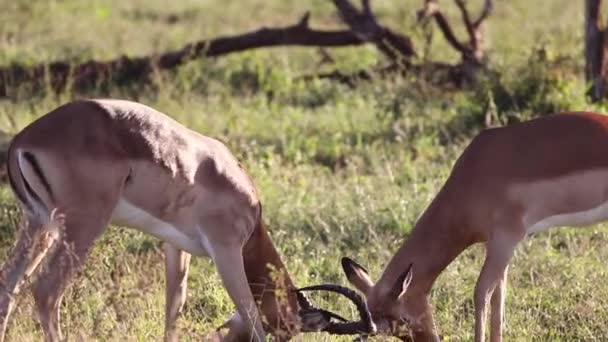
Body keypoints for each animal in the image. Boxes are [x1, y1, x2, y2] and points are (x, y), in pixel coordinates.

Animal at [0, 97, 370, 340]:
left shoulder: (176, 247)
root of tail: (23, 140)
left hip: (38, 224)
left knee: (9, 286)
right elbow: (250, 314)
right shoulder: (226, 249)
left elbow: (173, 308)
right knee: (46, 292)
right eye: (286, 331)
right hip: (82, 227)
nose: (222, 336)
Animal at [308, 112, 608, 342]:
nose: (430, 339)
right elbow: (499, 296)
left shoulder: (506, 239)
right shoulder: (498, 244)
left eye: (403, 318)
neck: (472, 174)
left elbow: (481, 293)